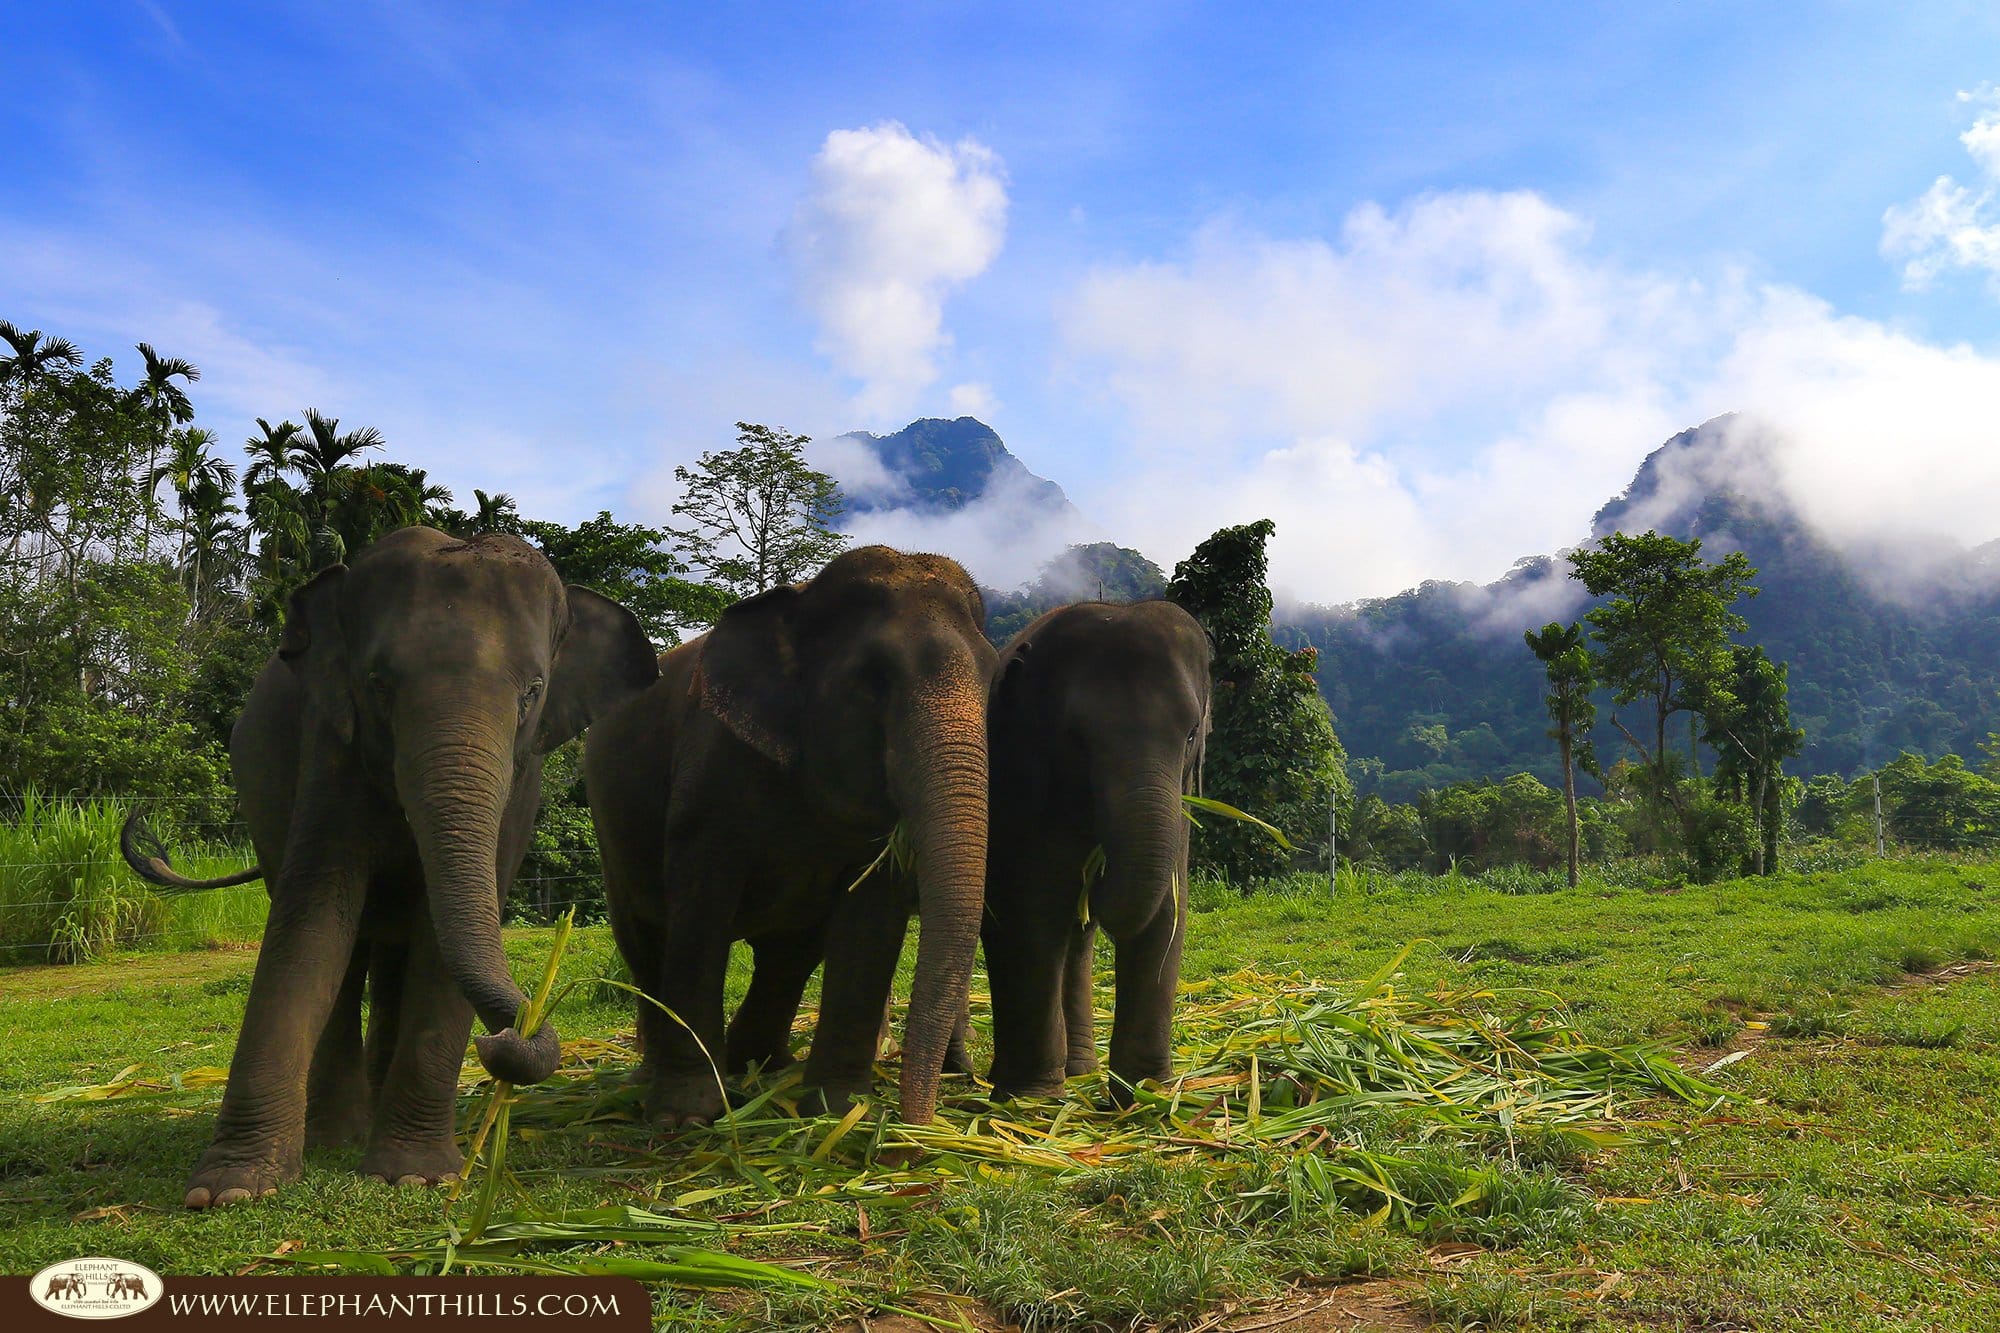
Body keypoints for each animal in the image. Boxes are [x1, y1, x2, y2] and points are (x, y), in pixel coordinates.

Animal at [122, 527, 657, 1208]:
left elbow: (442, 933)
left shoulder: (523, 780)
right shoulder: (329, 745)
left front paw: (416, 1176)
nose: (504, 1036)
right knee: (350, 957)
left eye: (533, 691)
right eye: (377, 685)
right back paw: (336, 1136)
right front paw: (230, 1191)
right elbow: (312, 921)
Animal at [586, 545, 994, 1128]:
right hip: (611, 831)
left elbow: (871, 914)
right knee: (645, 940)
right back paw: (657, 1079)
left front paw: (839, 1110)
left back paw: (759, 1064)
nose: (916, 1118)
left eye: (992, 677)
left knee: (789, 953)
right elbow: (701, 903)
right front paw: (685, 1118)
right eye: (872, 680)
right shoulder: (710, 766)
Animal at [979, 600, 1211, 1103]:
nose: (1099, 873)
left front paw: (1143, 1094)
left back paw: (1079, 1070)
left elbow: (1169, 907)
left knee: (1077, 939)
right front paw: (1030, 1098)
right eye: (1078, 738)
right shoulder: (1017, 775)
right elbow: (1029, 906)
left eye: (1190, 735)